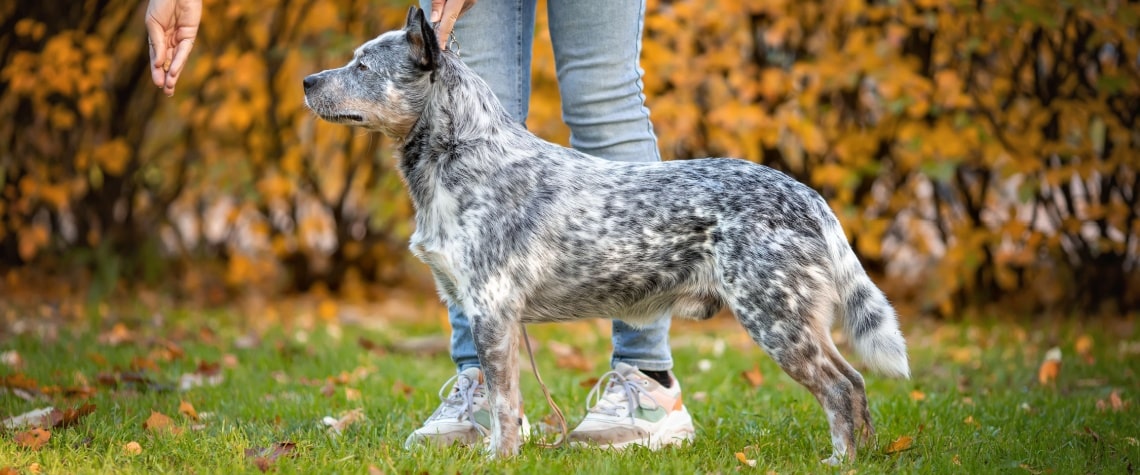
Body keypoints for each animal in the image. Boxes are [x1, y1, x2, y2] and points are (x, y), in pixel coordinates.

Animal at [303, 4, 907, 462]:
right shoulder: (477, 307)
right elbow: (499, 401)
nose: (307, 81)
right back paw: (869, 455)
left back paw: (841, 459)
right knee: (856, 383)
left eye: (362, 65)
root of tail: (807, 195)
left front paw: (499, 460)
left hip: (777, 318)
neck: (462, 156)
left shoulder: (492, 310)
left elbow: (503, 404)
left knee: (841, 387)